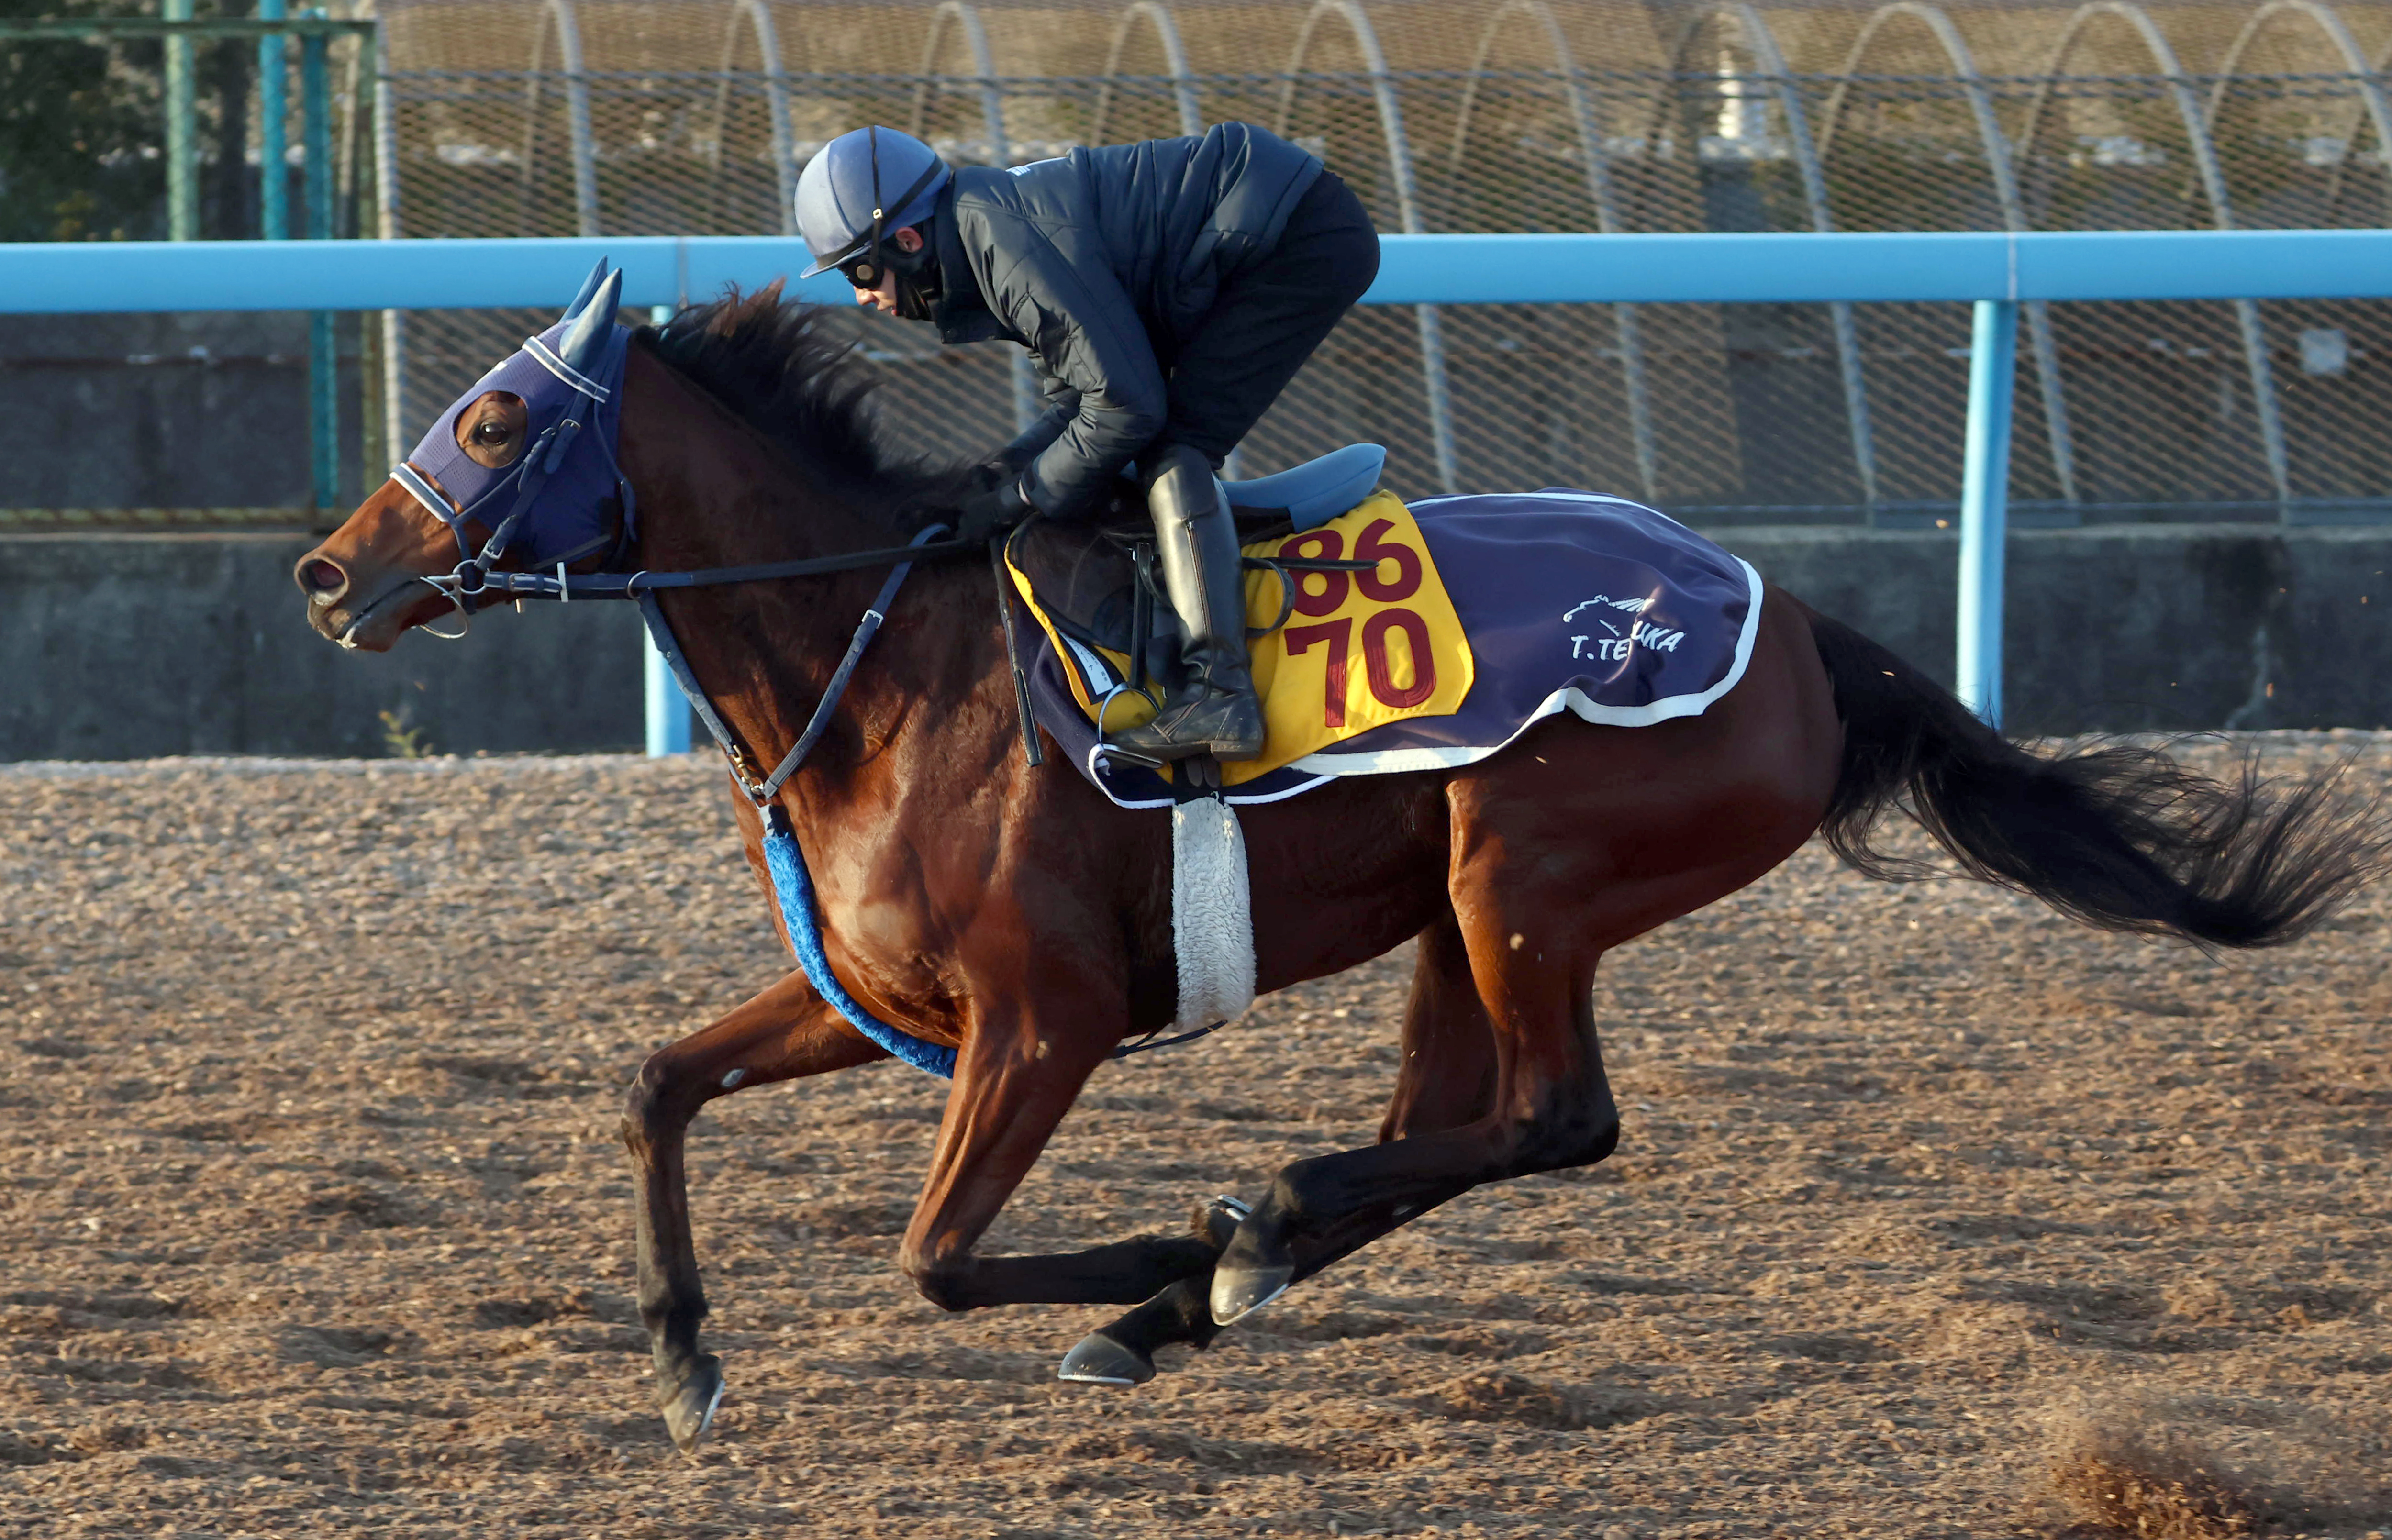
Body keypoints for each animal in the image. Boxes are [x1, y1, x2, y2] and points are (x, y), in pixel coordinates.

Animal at [292, 281, 2386, 1456]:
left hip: (1527, 879)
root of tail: (1795, 624)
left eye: (491, 416)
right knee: (1458, 1122)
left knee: (1554, 1121)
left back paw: (1233, 1241)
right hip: (1452, 913)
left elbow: (936, 1257)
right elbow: (655, 1082)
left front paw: (1165, 1246)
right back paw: (1228, 1267)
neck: (886, 668)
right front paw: (677, 1359)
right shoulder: (880, 999)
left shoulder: (1044, 1020)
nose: (325, 570)